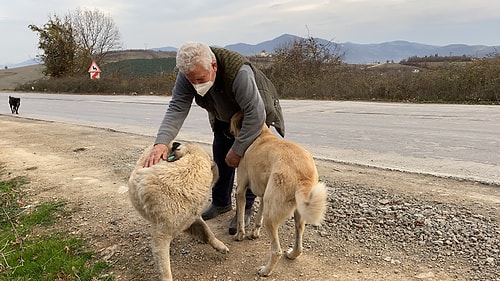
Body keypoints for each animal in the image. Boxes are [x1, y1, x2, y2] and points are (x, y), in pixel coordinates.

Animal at [129, 142, 230, 280]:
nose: (174, 144)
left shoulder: (192, 218)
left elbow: (207, 231)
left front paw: (219, 245)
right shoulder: (161, 237)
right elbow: (165, 270)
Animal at [230, 110, 328, 274]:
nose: (229, 132)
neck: (260, 134)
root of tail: (302, 176)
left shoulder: (241, 190)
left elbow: (240, 219)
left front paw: (240, 235)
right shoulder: (264, 196)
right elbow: (258, 217)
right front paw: (254, 233)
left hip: (271, 218)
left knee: (276, 251)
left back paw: (265, 270)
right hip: (298, 215)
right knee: (299, 244)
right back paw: (292, 254)